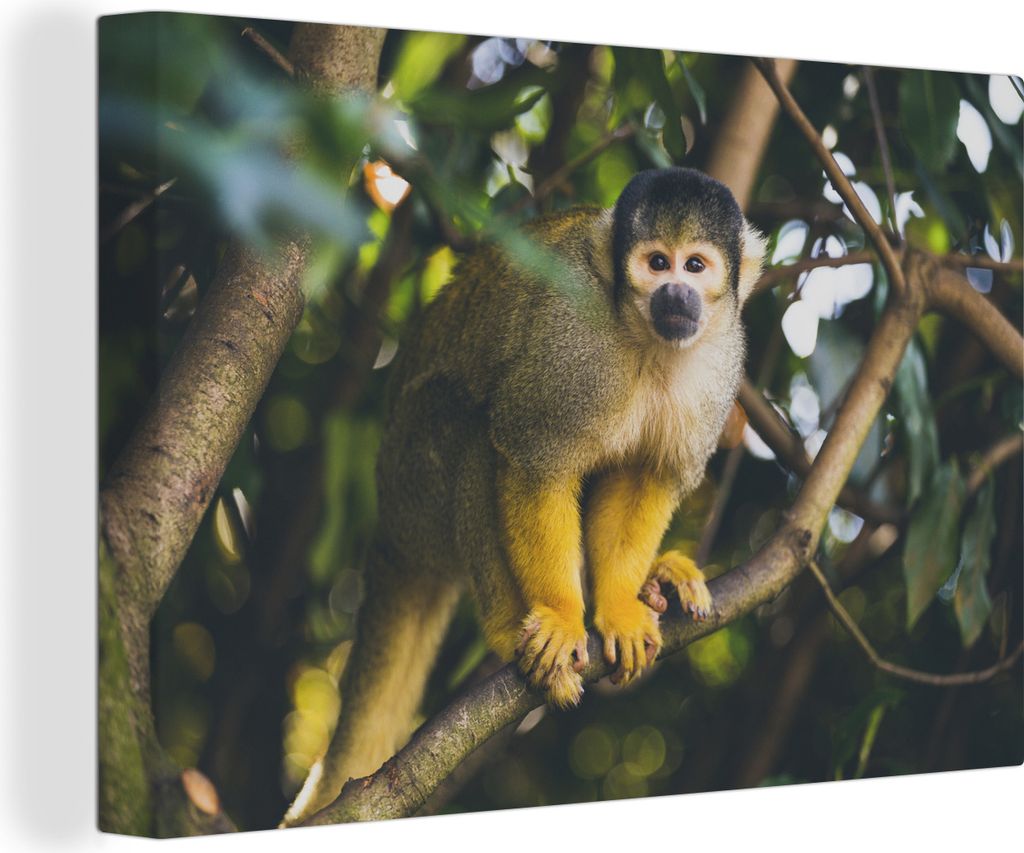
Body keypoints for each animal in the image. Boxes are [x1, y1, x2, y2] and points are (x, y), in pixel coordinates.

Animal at [282, 167, 766, 826]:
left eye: (696, 266)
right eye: (657, 263)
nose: (676, 296)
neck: (645, 340)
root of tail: (390, 529)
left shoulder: (722, 360)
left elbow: (647, 477)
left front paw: (617, 605)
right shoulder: (572, 344)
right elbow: (534, 459)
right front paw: (562, 616)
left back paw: (656, 581)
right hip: (412, 487)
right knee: (466, 425)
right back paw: (510, 625)